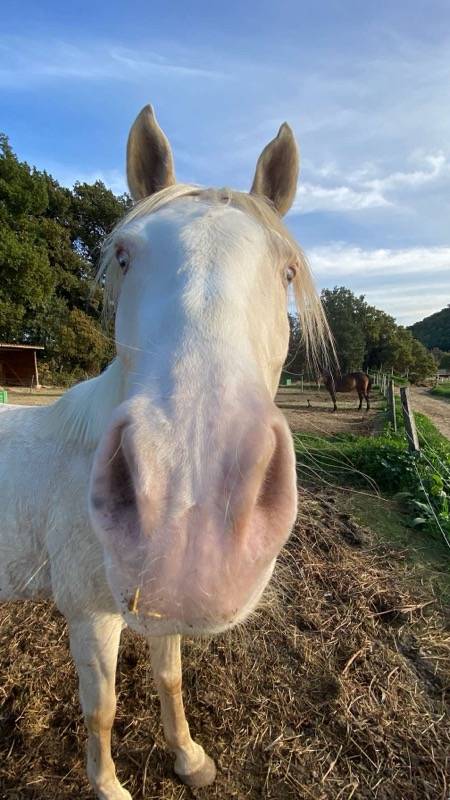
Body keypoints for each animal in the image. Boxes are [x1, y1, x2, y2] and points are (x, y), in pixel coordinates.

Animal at [0, 104, 329, 799]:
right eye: (124, 256)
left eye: (286, 271)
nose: (191, 494)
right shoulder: (91, 615)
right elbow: (100, 709)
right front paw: (109, 786)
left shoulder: (156, 605)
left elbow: (169, 677)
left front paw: (190, 758)